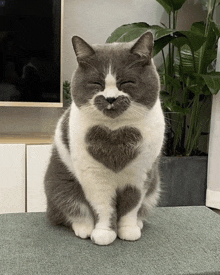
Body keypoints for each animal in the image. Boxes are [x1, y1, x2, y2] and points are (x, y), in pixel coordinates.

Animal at [44, 31, 165, 246]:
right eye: (96, 83)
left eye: (126, 82)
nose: (110, 98)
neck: (116, 131)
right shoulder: (94, 175)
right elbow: (103, 206)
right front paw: (103, 233)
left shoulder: (141, 173)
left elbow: (131, 206)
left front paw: (128, 229)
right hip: (61, 186)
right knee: (70, 211)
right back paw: (84, 228)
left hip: (154, 188)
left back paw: (138, 223)